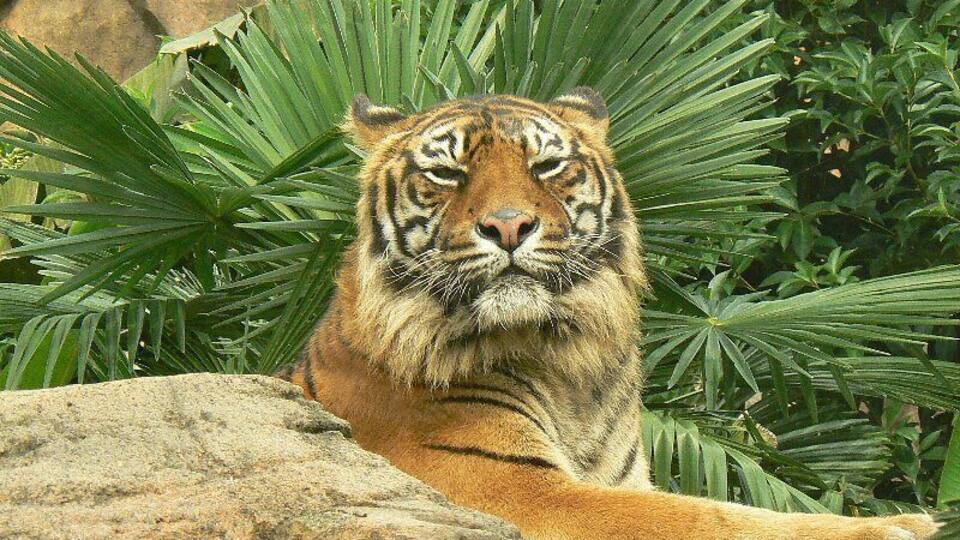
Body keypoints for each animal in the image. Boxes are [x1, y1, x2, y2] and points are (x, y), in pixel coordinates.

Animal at [276, 89, 939, 539]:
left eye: (545, 166)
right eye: (446, 173)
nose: (509, 226)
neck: (563, 359)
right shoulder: (513, 489)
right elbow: (706, 518)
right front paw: (893, 527)